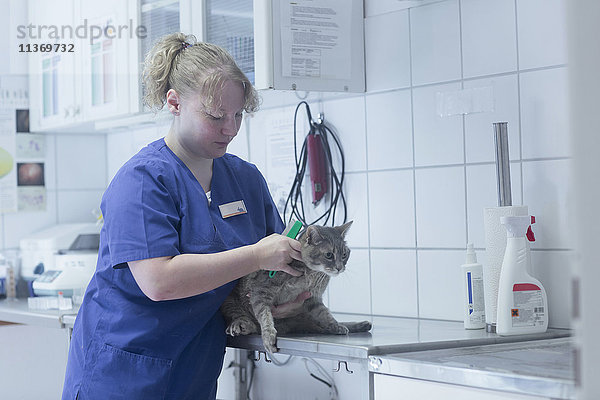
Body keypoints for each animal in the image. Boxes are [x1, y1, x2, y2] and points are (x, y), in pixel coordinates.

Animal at [221, 222, 370, 354]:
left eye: (344, 254)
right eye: (329, 255)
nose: (340, 268)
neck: (309, 273)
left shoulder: (312, 298)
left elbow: (324, 313)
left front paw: (335, 324)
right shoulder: (260, 292)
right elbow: (264, 315)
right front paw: (268, 336)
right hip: (230, 302)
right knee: (244, 318)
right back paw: (241, 324)